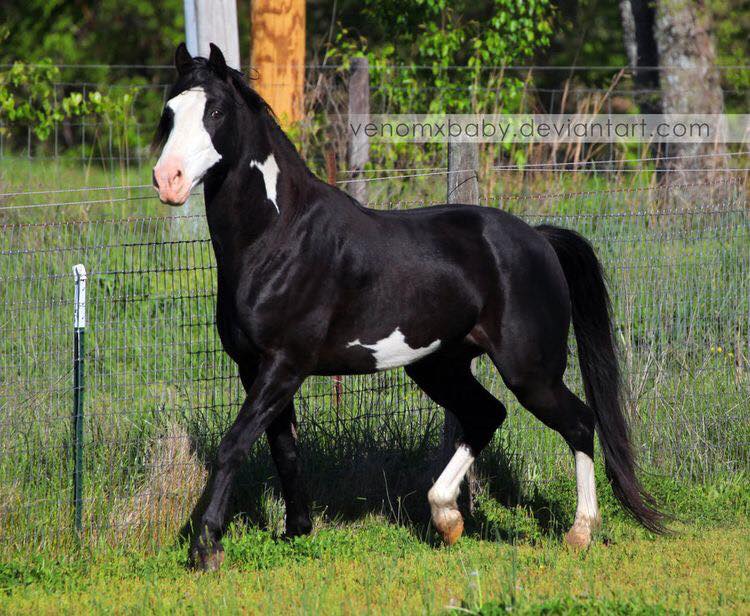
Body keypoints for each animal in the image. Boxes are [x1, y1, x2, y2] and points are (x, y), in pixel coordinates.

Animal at [153, 44, 664, 572]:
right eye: (169, 112)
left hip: (531, 372)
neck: (279, 239)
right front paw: (296, 531)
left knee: (580, 423)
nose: (167, 181)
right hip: (440, 365)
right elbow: (283, 450)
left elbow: (234, 445)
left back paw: (579, 532)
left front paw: (206, 547)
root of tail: (539, 239)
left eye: (216, 112)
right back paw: (447, 518)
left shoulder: (284, 365)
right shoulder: (253, 368)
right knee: (487, 415)